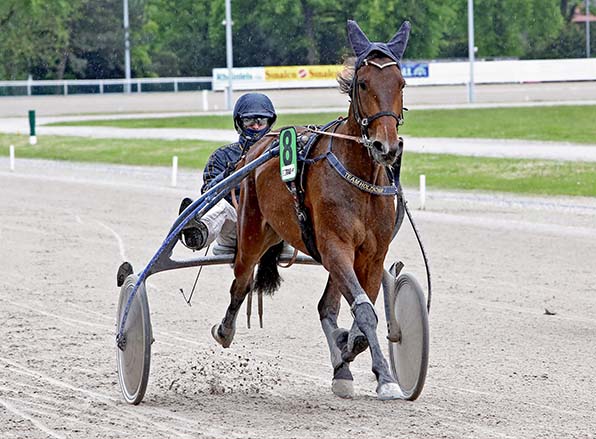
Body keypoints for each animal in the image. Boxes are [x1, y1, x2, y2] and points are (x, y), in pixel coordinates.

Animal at [210, 18, 410, 400]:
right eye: (364, 83)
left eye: (401, 82)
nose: (386, 146)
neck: (359, 177)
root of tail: (259, 146)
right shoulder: (335, 245)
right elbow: (364, 312)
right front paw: (383, 376)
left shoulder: (372, 254)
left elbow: (362, 317)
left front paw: (360, 361)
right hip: (253, 231)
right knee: (240, 282)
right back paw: (224, 330)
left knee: (325, 306)